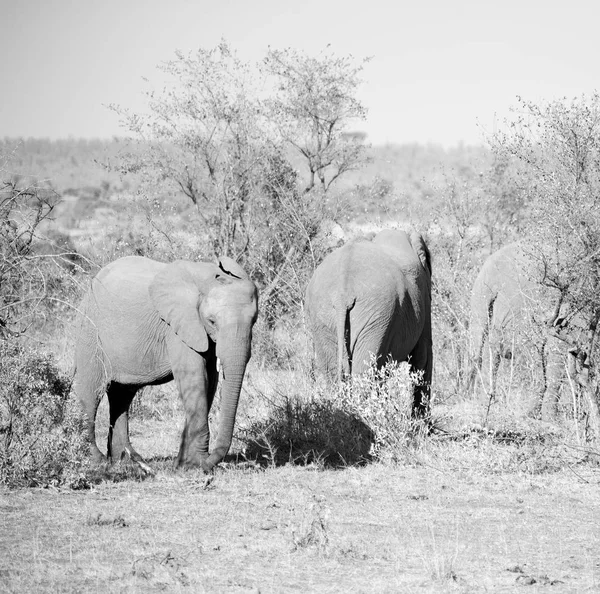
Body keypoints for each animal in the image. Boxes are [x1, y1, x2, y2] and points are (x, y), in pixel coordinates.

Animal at [72, 254, 258, 472]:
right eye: (212, 321)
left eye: (254, 320)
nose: (208, 463)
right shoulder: (177, 326)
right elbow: (194, 377)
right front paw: (195, 465)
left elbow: (210, 381)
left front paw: (185, 464)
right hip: (89, 331)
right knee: (91, 393)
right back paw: (98, 462)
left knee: (122, 396)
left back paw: (127, 462)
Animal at [304, 227, 432, 416]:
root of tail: (342, 292)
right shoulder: (423, 294)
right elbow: (422, 357)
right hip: (377, 313)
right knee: (365, 374)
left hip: (324, 314)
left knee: (332, 373)